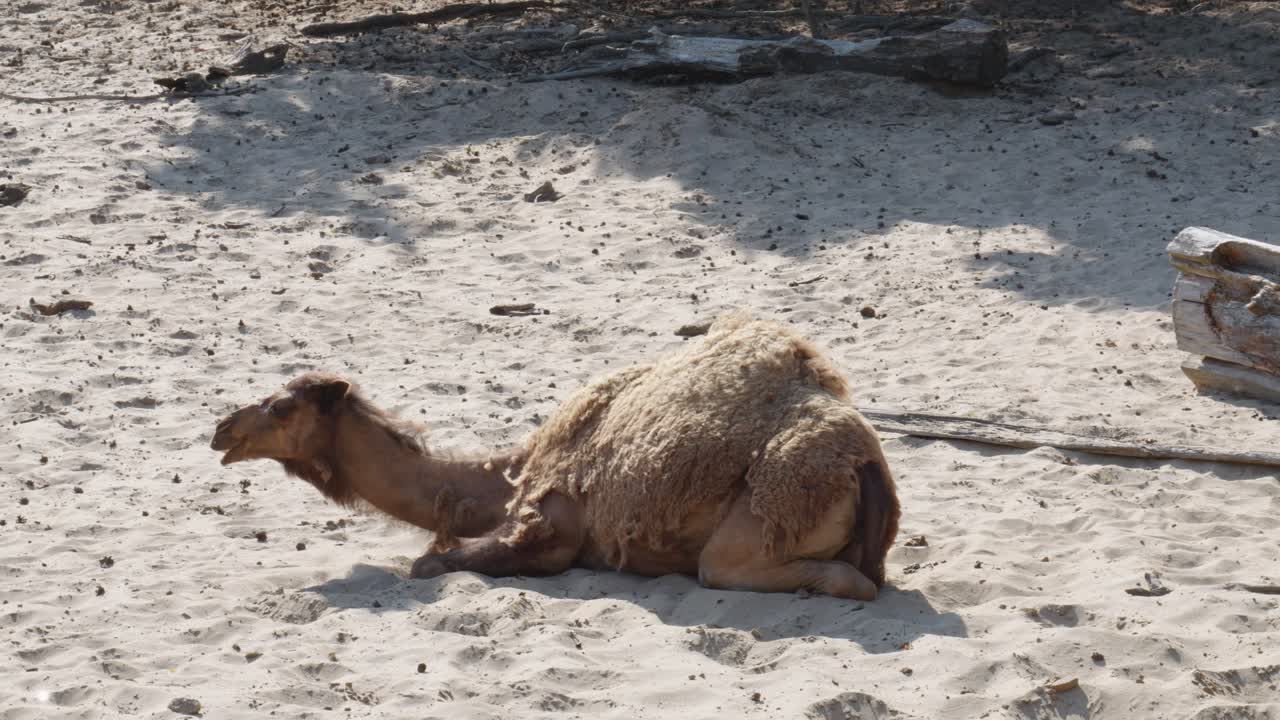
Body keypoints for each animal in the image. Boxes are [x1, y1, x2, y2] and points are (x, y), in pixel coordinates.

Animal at [210, 313, 901, 600]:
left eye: (281, 407)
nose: (221, 430)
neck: (508, 474)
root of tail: (866, 465)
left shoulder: (552, 530)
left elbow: (429, 564)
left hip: (767, 511)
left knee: (755, 572)